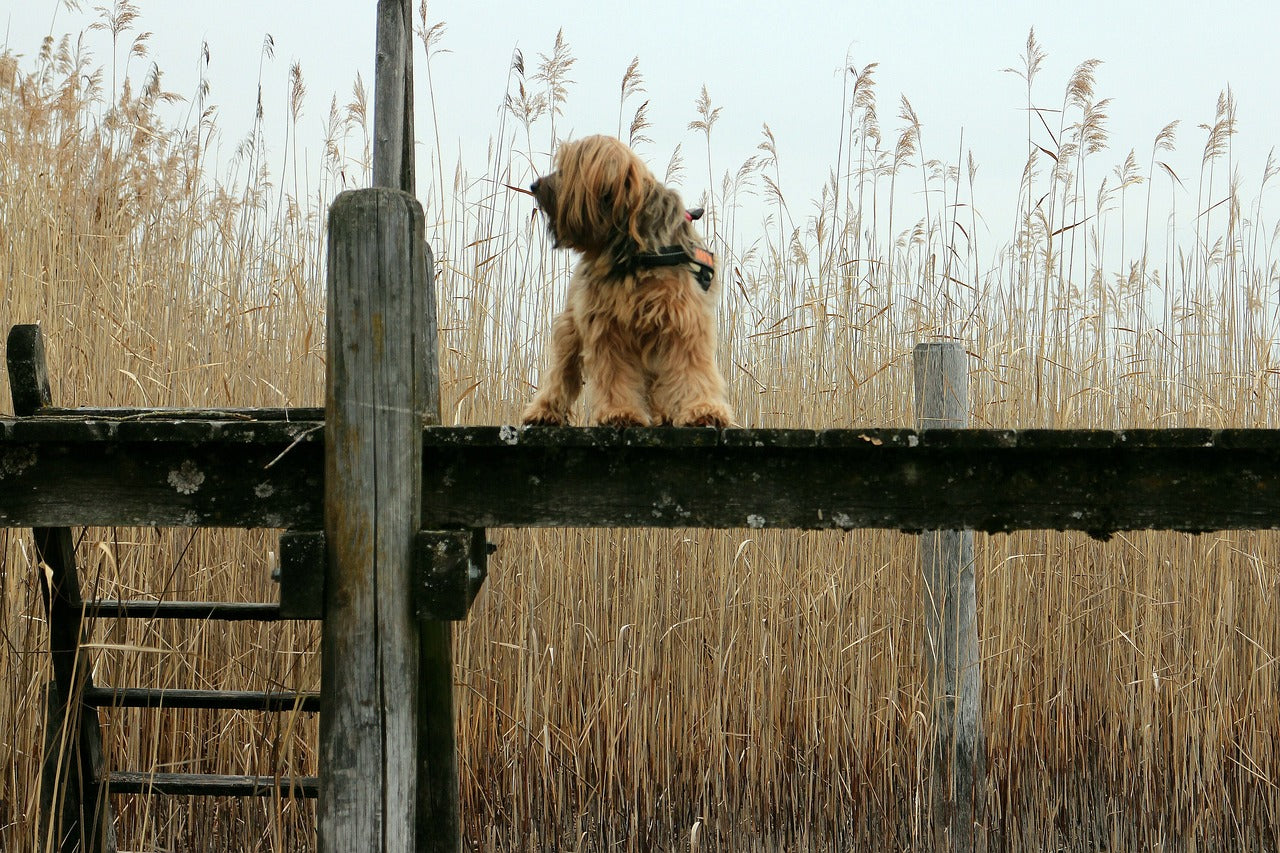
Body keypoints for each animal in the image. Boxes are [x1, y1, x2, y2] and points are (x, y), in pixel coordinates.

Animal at [519, 135, 737, 427]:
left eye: (565, 169)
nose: (534, 185)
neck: (635, 250)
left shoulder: (683, 319)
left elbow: (693, 369)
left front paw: (704, 409)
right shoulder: (605, 324)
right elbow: (614, 373)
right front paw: (620, 412)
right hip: (570, 326)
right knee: (561, 371)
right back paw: (544, 410)